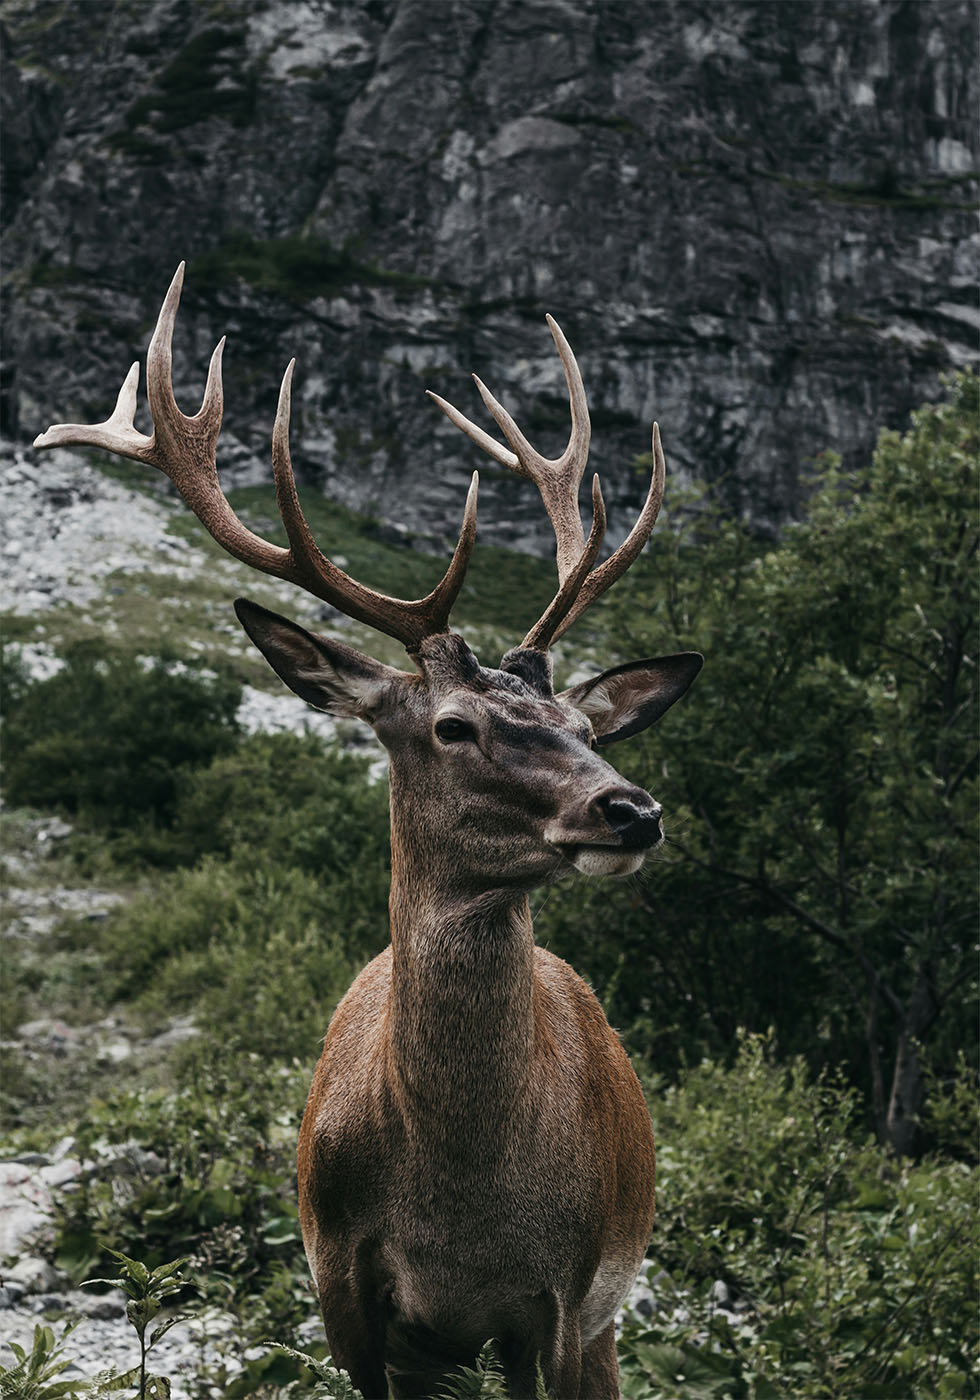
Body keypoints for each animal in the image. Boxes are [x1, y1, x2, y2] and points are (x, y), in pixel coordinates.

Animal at [34, 264, 700, 1400]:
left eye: (581, 729)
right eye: (452, 724)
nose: (632, 809)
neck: (461, 1210)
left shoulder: (563, 1300)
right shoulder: (341, 1282)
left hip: (608, 1308)